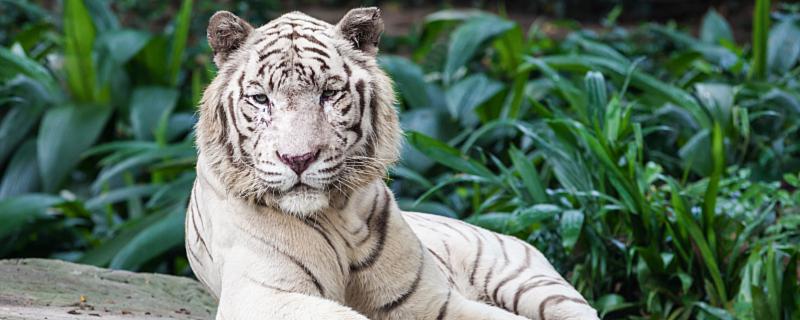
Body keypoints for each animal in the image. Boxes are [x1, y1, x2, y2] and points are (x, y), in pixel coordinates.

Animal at [186, 7, 600, 320]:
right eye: (261, 99)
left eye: (329, 94)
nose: (298, 159)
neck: (337, 216)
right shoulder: (264, 297)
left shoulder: (431, 300)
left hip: (536, 286)